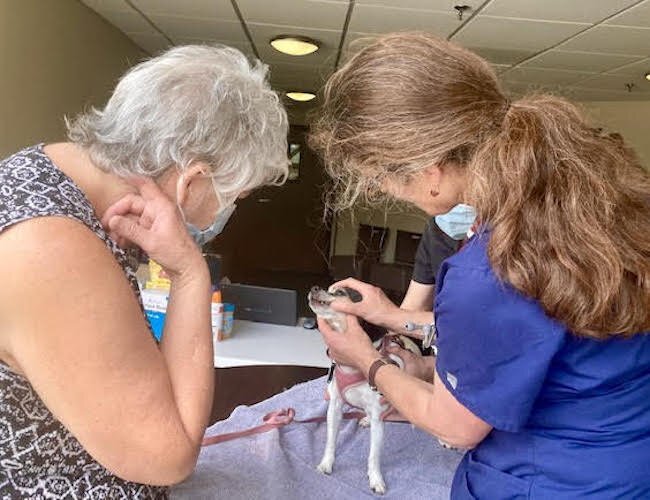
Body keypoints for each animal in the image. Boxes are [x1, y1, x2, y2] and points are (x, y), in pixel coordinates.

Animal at [308, 288, 420, 494]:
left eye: (340, 292)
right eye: (329, 289)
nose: (314, 287)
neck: (352, 366)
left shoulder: (378, 421)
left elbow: (373, 455)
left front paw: (375, 479)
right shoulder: (335, 407)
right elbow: (330, 441)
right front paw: (326, 464)